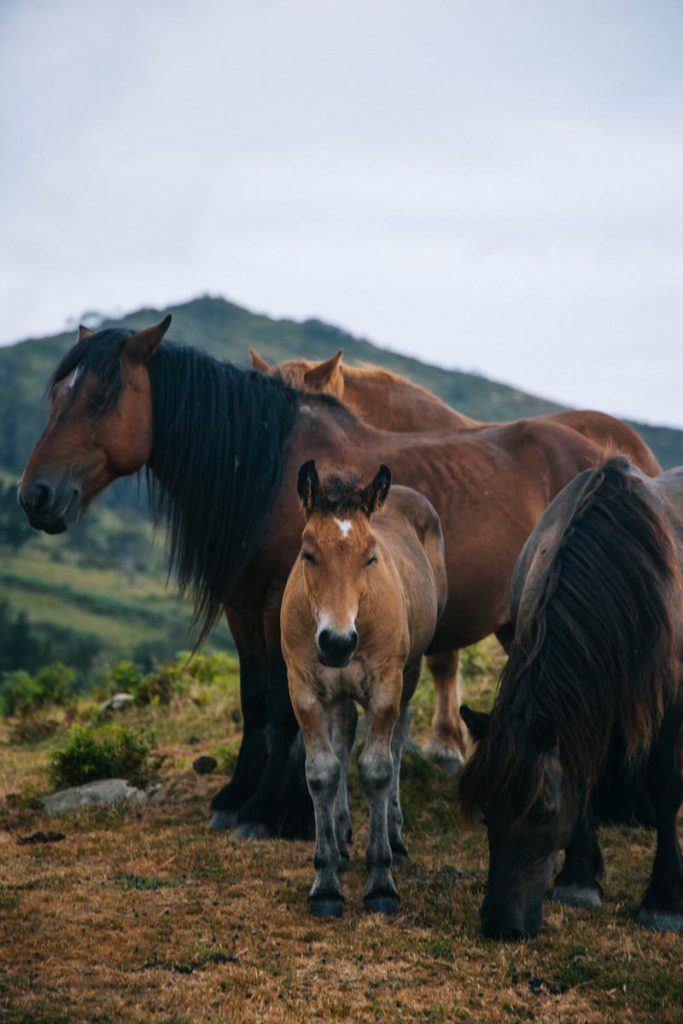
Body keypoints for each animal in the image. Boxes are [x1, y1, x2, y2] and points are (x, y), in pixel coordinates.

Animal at [19, 316, 612, 843]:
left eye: (101, 399)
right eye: (56, 400)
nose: (35, 495)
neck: (271, 473)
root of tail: (606, 458)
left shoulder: (285, 605)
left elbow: (283, 708)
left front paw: (272, 811)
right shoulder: (243, 605)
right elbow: (255, 701)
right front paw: (237, 797)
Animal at [281, 462, 447, 916]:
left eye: (371, 557)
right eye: (308, 554)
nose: (337, 643)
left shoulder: (386, 686)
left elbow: (377, 769)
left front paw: (381, 884)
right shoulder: (303, 688)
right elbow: (322, 771)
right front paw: (325, 883)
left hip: (410, 672)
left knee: (398, 741)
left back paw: (394, 836)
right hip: (338, 692)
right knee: (342, 738)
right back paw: (340, 839)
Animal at [459, 456, 683, 939]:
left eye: (543, 812)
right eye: (486, 811)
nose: (501, 925)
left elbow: (666, 787)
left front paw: (664, 901)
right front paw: (580, 878)